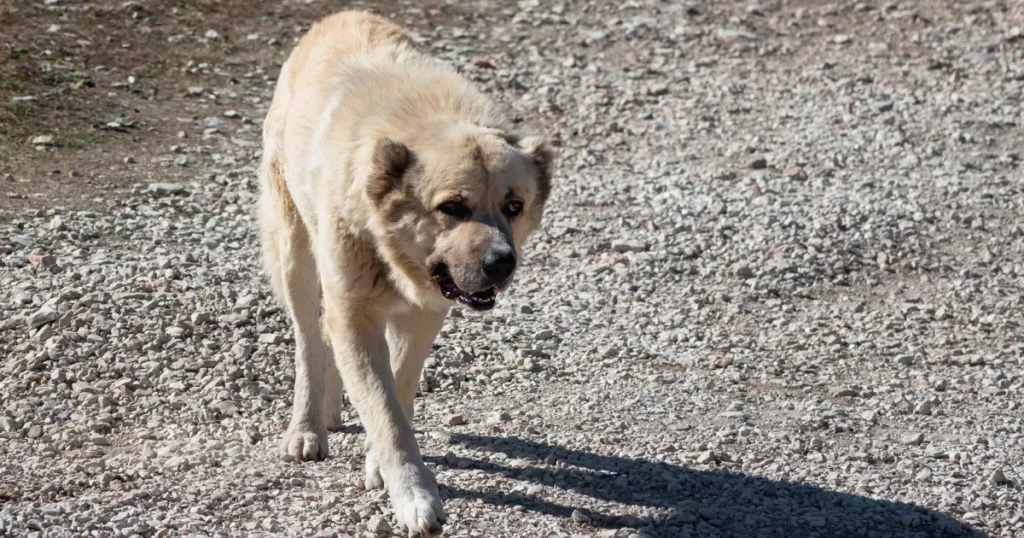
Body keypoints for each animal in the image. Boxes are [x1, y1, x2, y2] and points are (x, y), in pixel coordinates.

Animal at [260, 10, 557, 532]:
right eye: (452, 207)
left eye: (514, 206)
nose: (502, 263)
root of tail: (337, 15)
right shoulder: (356, 312)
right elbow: (385, 410)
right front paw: (414, 496)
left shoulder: (424, 312)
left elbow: (397, 388)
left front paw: (379, 462)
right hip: (296, 250)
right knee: (309, 341)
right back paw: (308, 426)